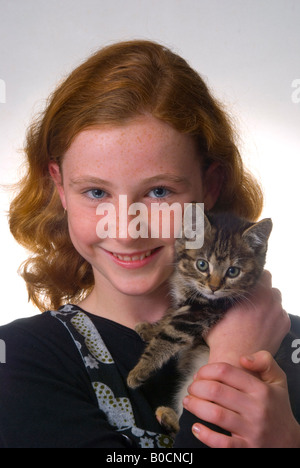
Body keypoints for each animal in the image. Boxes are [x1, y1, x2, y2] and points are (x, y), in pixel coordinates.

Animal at [127, 212, 274, 436]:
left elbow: (169, 336)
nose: (214, 287)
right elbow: (169, 316)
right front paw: (151, 328)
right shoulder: (184, 305)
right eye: (202, 265)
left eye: (233, 271)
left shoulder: (199, 314)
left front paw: (140, 369)